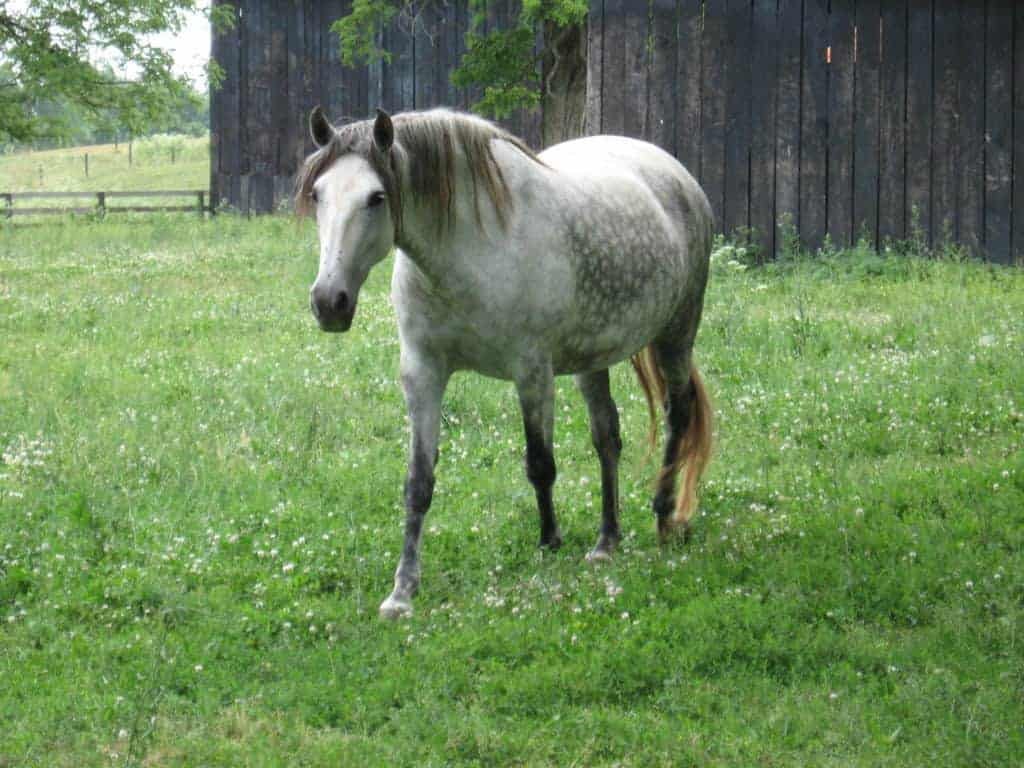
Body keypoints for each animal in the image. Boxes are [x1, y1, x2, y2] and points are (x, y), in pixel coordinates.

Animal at [294, 105, 712, 618]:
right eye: (317, 194)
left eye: (376, 197)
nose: (328, 302)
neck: (468, 249)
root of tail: (676, 174)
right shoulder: (422, 374)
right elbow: (418, 482)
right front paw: (402, 590)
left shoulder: (531, 372)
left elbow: (540, 464)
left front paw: (550, 542)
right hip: (592, 359)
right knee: (607, 438)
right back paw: (606, 541)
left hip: (676, 336)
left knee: (679, 416)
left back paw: (665, 516)